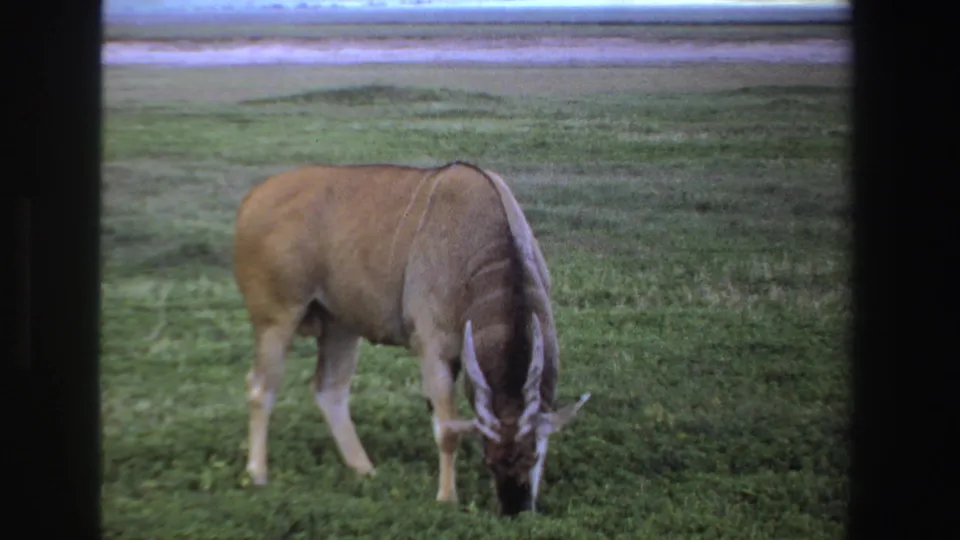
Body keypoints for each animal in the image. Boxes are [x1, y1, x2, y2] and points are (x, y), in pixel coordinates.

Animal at [232, 161, 590, 515]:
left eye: (534, 456)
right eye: (489, 460)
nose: (516, 508)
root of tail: (252, 199)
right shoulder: (433, 348)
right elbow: (447, 429)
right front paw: (446, 498)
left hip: (340, 326)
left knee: (329, 390)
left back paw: (365, 470)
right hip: (277, 319)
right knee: (260, 387)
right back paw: (258, 473)